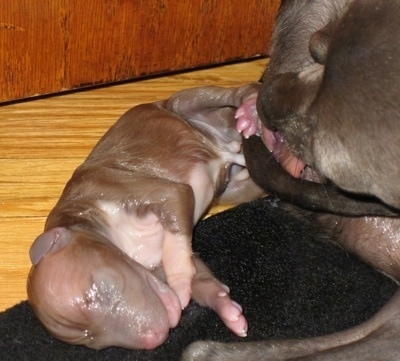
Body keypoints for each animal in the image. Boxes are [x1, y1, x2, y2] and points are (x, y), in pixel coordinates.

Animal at [25, 83, 262, 348]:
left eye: (101, 288)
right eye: (90, 339)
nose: (155, 339)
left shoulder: (161, 192)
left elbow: (176, 246)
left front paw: (180, 283)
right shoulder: (157, 263)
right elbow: (199, 275)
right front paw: (226, 309)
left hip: (182, 103)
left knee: (231, 92)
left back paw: (249, 108)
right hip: (233, 189)